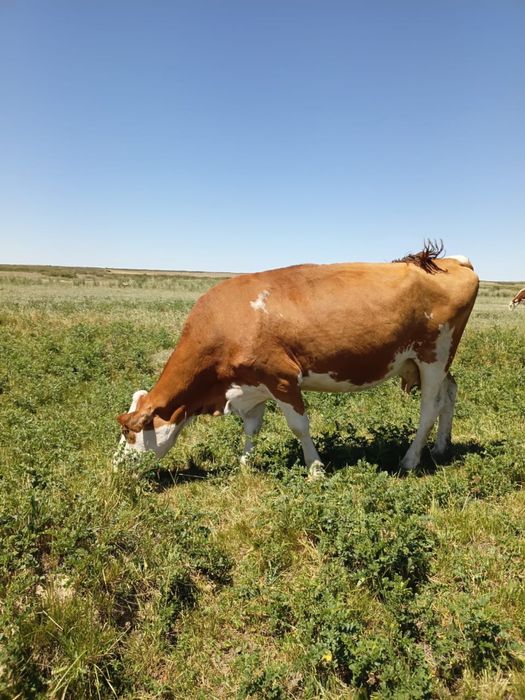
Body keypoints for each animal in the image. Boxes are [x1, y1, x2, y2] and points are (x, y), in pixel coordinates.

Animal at [116, 243, 479, 476]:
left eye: (131, 434)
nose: (115, 467)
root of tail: (454, 262)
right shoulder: (252, 383)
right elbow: (251, 427)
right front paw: (245, 465)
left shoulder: (281, 377)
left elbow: (299, 426)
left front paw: (315, 469)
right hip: (434, 361)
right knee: (450, 393)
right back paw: (441, 448)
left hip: (433, 356)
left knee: (429, 408)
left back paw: (410, 460)